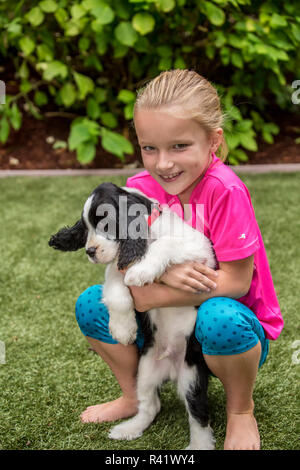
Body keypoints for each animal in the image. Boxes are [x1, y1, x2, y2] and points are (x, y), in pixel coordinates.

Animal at [49, 182, 218, 450]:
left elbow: (165, 244)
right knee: (151, 405)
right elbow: (117, 292)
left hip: (192, 377)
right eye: (85, 227)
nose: (90, 251)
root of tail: (171, 370)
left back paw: (200, 445)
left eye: (106, 224)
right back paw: (128, 429)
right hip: (145, 370)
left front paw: (141, 271)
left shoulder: (200, 250)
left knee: (199, 416)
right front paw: (123, 330)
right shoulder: (117, 266)